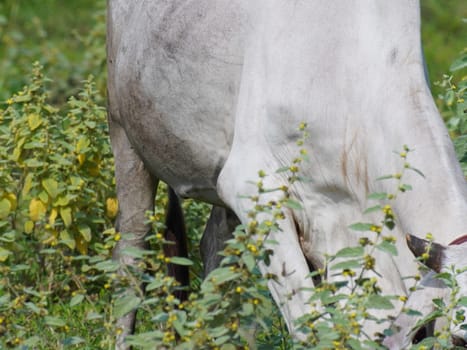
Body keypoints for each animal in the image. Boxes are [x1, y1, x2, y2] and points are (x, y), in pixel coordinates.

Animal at [108, 1, 467, 348]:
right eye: (459, 338)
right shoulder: (253, 186)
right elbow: (311, 324)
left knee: (216, 253)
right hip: (125, 134)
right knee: (130, 253)